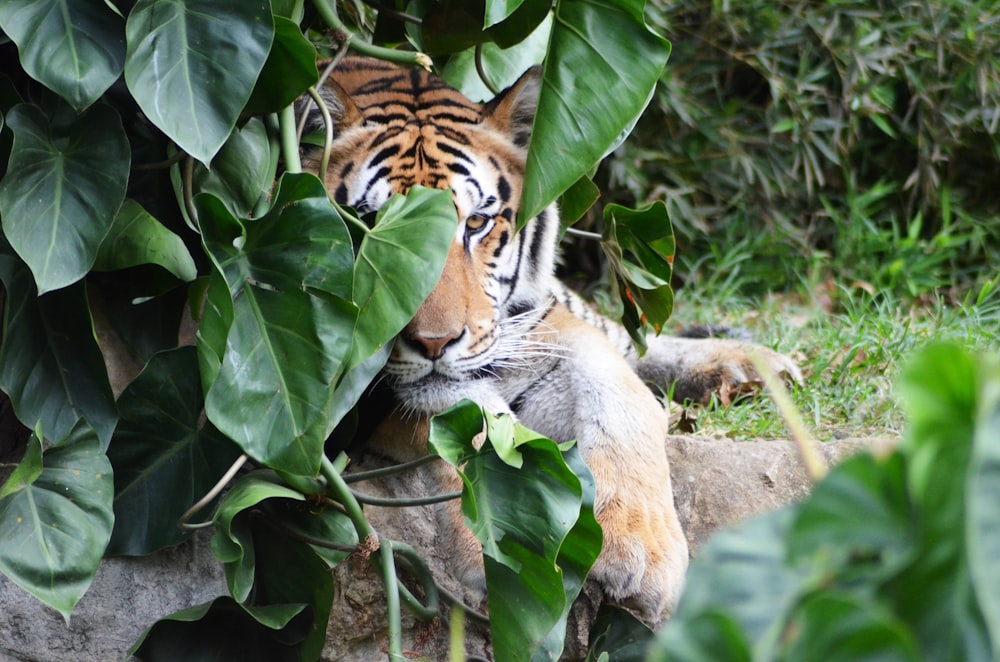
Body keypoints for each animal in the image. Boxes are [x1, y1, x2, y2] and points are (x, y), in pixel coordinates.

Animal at [300, 57, 800, 628]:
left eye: (476, 222)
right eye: (367, 226)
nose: (435, 343)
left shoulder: (535, 323)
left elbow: (617, 388)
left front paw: (640, 547)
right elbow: (479, 424)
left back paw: (752, 366)